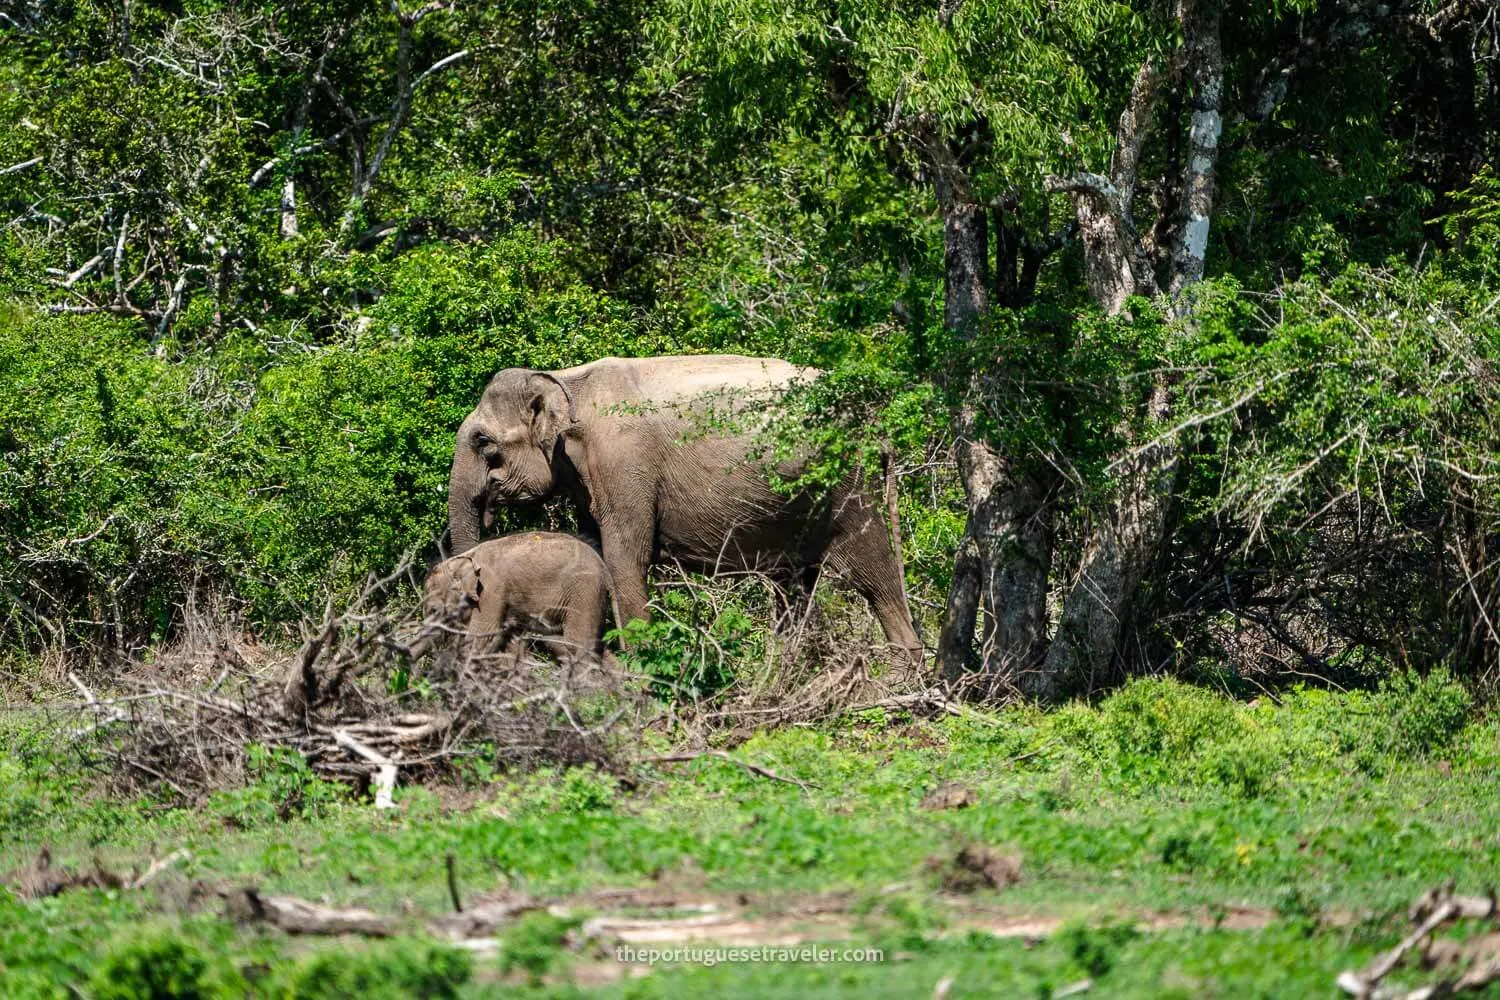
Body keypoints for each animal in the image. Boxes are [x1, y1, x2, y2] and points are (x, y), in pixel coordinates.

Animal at [410, 531, 615, 674]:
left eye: (434, 610)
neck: (463, 560)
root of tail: (605, 570)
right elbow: (512, 644)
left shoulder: (491, 590)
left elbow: (482, 636)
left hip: (584, 591)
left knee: (577, 643)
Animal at [446, 354, 923, 661]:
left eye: (483, 442)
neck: (564, 381)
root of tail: (876, 423)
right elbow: (596, 551)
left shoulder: (624, 468)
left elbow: (625, 560)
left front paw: (643, 667)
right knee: (795, 585)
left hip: (849, 484)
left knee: (875, 573)